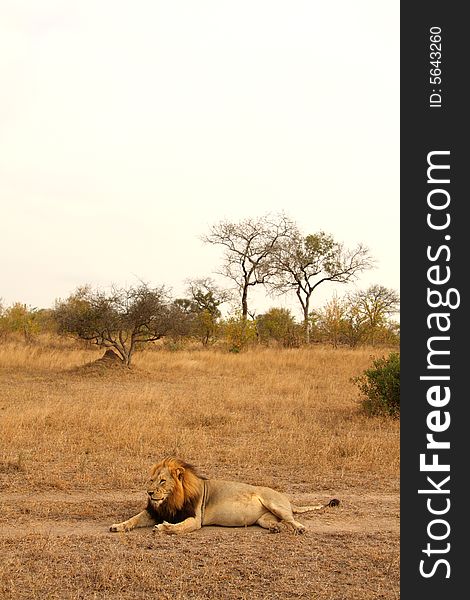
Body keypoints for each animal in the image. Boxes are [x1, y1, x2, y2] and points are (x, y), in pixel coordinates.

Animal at [110, 458, 338, 536]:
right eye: (151, 480)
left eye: (163, 481)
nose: (149, 493)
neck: (170, 500)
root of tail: (286, 499)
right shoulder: (154, 512)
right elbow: (133, 519)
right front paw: (118, 526)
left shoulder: (195, 519)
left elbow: (179, 528)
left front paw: (164, 528)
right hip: (264, 518)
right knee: (278, 522)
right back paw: (275, 528)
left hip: (274, 503)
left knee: (292, 519)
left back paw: (300, 529)